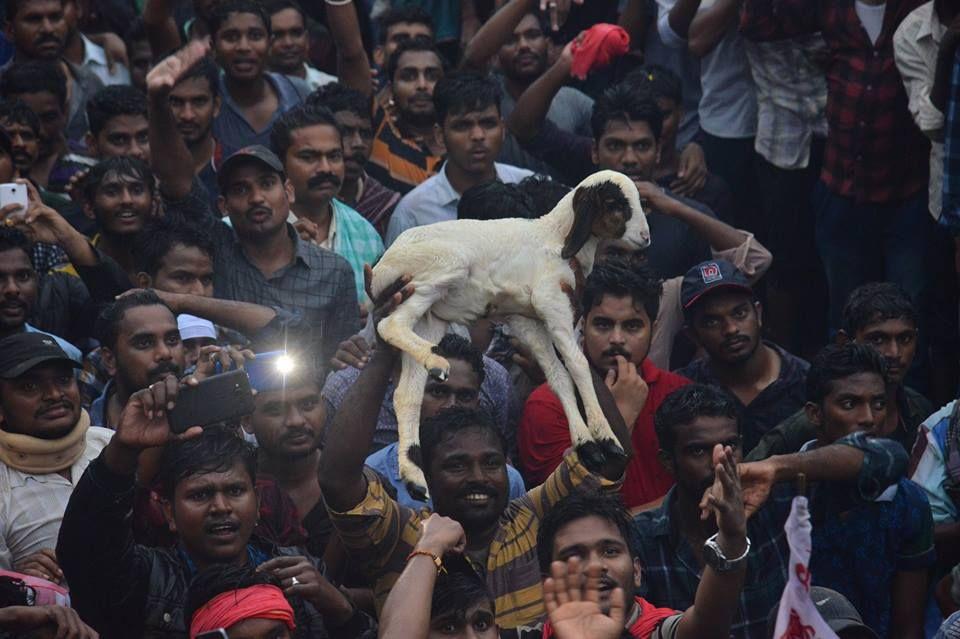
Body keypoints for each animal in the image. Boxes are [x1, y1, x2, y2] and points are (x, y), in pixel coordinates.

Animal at [372, 171, 648, 500]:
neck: (555, 238)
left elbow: (558, 376)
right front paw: (606, 438)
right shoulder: (552, 303)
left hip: (430, 315)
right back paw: (437, 362)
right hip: (443, 267)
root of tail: (381, 267)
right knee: (389, 325)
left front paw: (587, 445)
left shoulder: (527, 321)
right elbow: (578, 365)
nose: (646, 238)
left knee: (407, 392)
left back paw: (414, 476)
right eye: (614, 203)